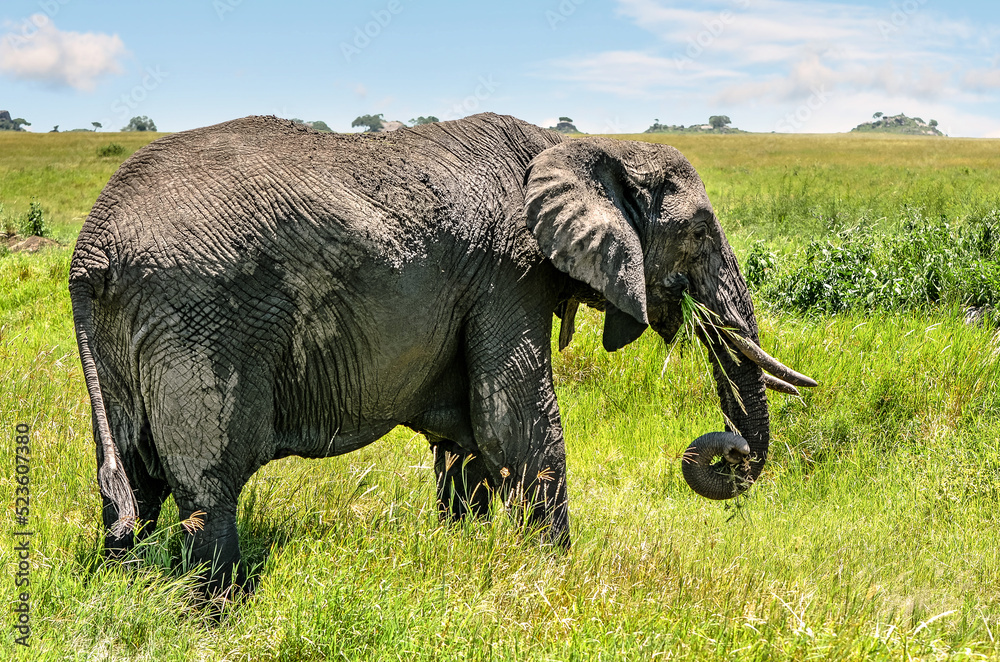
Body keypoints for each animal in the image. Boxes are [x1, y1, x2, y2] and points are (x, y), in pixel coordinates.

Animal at [69, 113, 816, 593]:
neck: (582, 146)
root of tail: (90, 247)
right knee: (206, 488)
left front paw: (468, 556)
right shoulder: (509, 270)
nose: (726, 451)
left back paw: (128, 595)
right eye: (699, 232)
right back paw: (212, 610)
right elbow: (517, 428)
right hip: (200, 320)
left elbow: (466, 441)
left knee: (133, 481)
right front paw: (553, 582)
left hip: (125, 338)